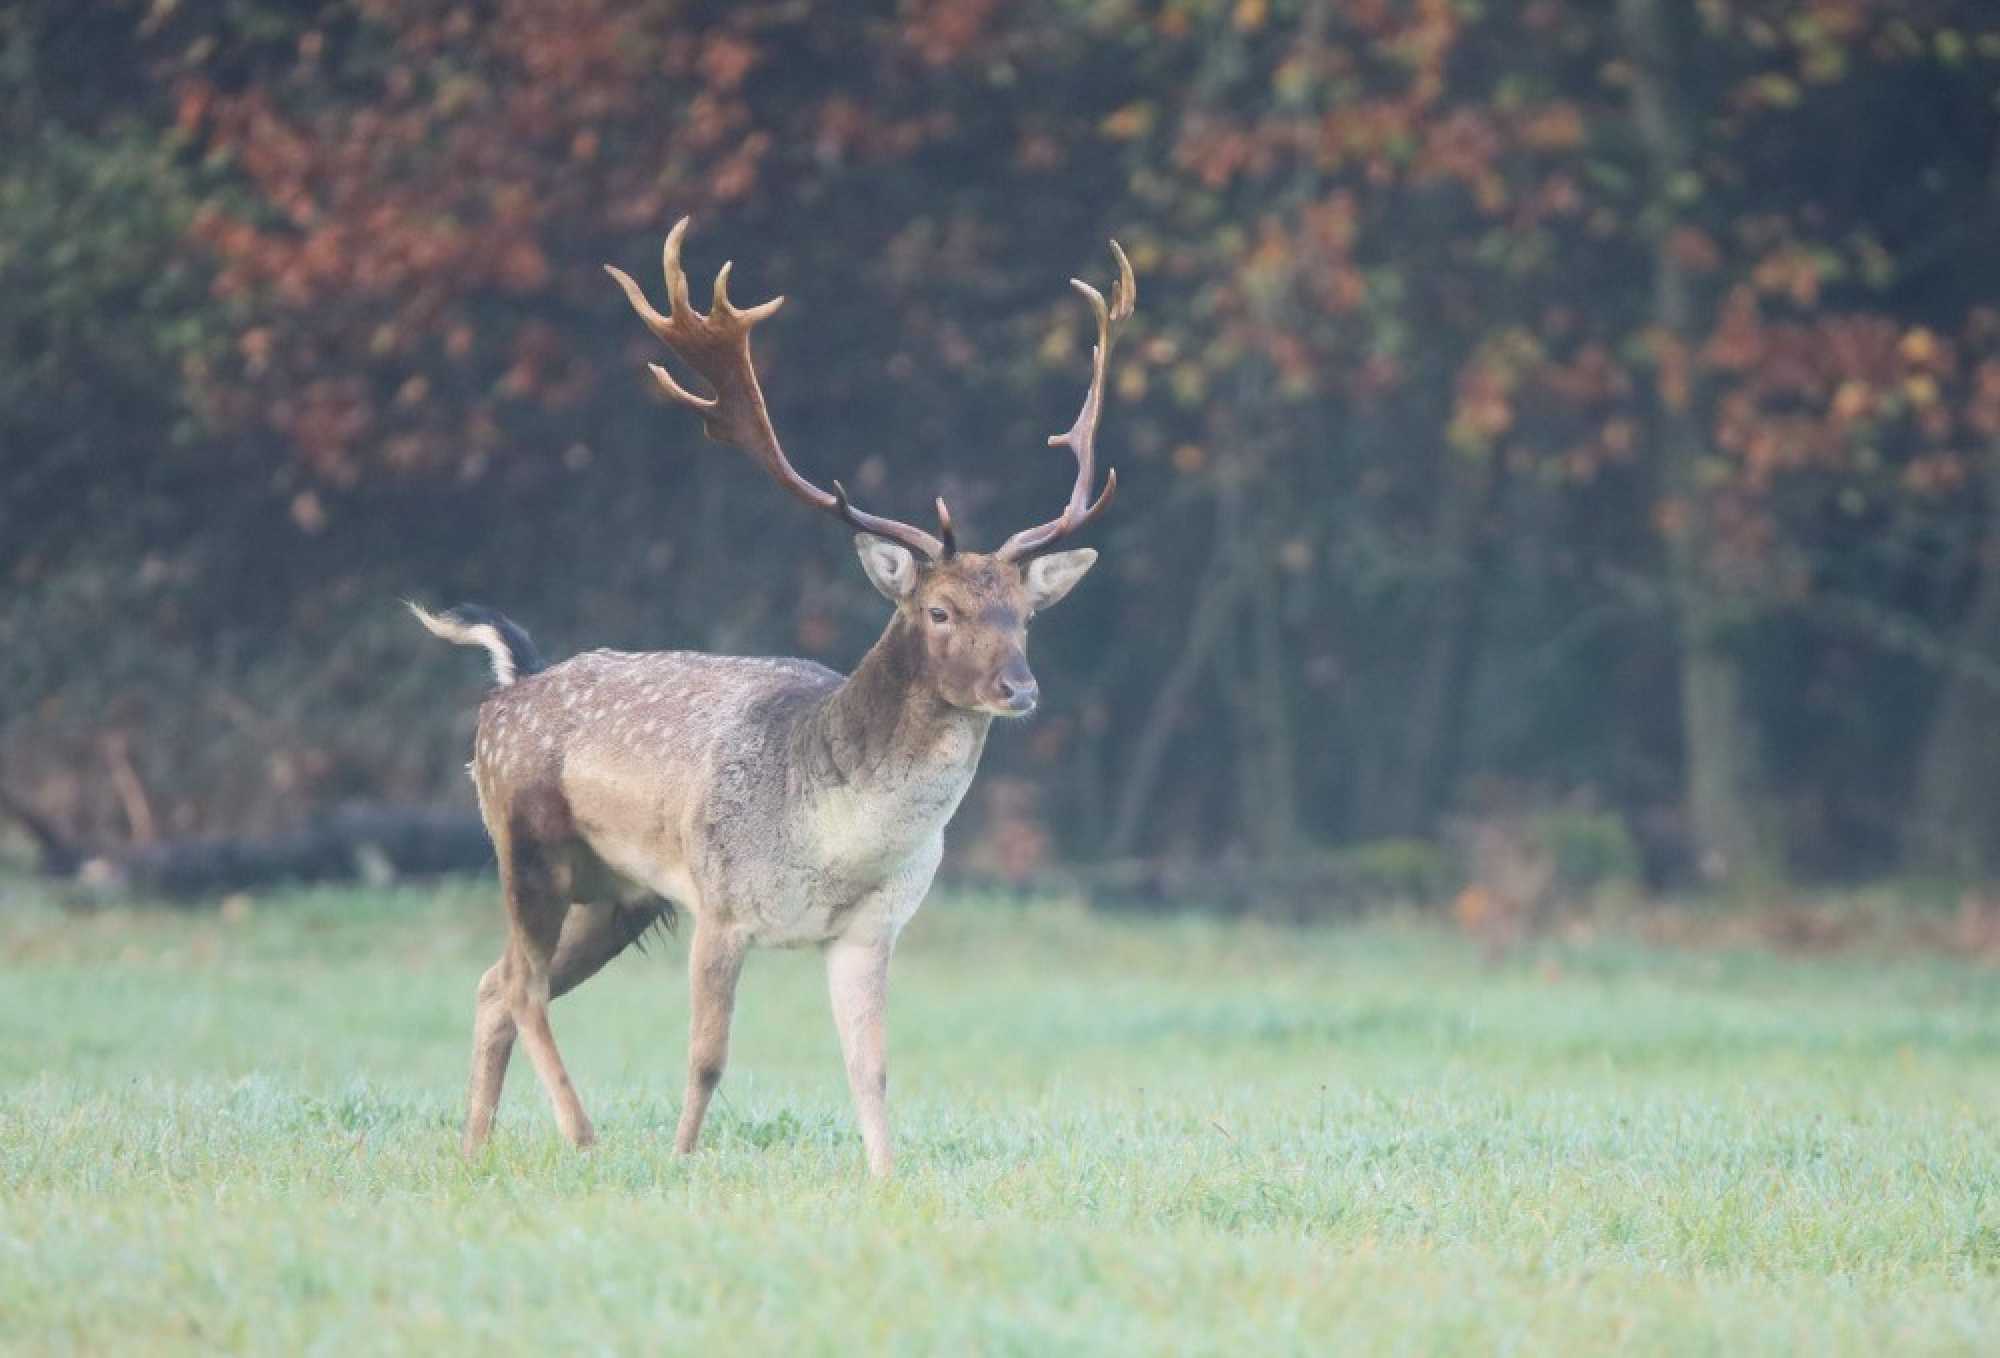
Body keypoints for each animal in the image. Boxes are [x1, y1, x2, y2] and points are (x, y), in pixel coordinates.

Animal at [414, 218, 1136, 1176]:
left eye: (1025, 616)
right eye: (939, 610)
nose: (1020, 688)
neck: (834, 841)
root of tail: (511, 684)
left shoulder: (872, 927)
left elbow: (871, 1069)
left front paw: (886, 1179)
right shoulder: (720, 903)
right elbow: (707, 1059)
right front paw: (682, 1163)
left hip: (615, 894)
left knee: (493, 983)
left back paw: (474, 1149)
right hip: (525, 842)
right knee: (523, 986)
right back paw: (582, 1134)